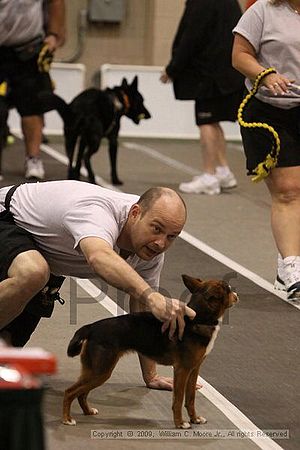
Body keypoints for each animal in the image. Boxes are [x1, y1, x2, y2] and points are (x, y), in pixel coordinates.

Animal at [62, 274, 238, 428]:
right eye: (228, 290)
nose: (236, 294)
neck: (199, 319)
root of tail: (92, 327)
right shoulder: (182, 370)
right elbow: (178, 399)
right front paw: (180, 423)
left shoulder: (194, 370)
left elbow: (190, 398)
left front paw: (195, 419)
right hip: (101, 371)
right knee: (70, 392)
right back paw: (67, 419)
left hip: (94, 370)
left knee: (82, 393)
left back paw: (88, 411)